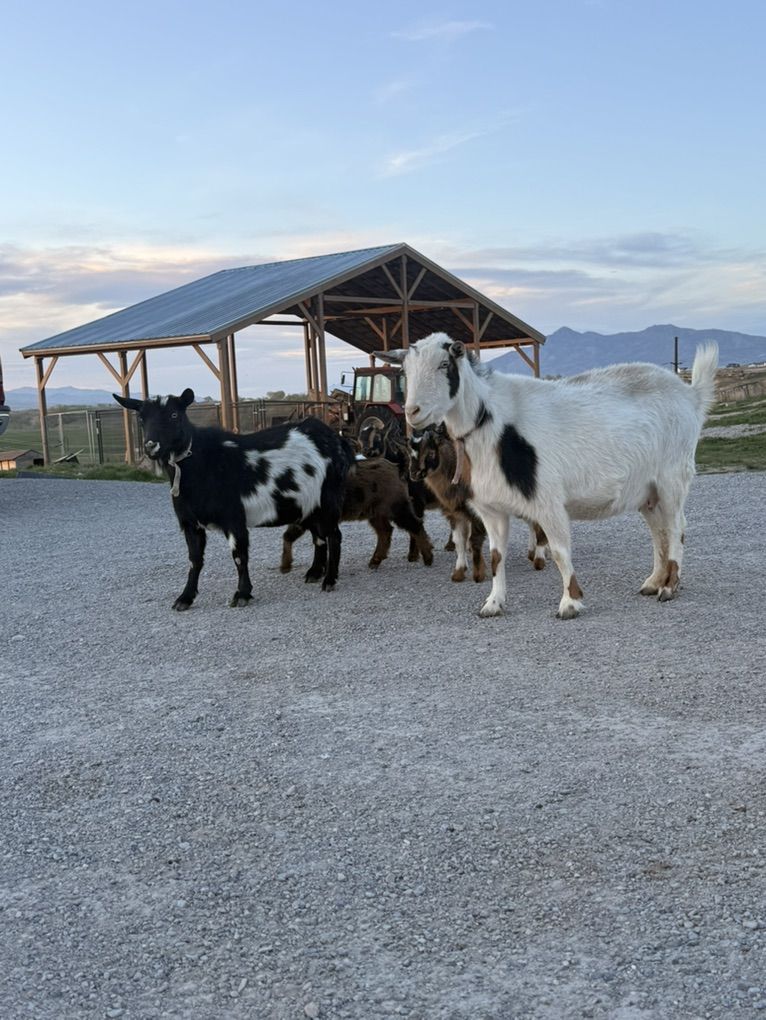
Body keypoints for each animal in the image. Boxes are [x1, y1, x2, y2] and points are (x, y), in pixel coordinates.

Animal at [114, 389, 355, 609]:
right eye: (141, 418)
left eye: (174, 414)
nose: (150, 446)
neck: (202, 463)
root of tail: (335, 439)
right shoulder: (190, 523)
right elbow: (194, 560)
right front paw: (185, 598)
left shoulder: (234, 517)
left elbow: (239, 556)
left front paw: (242, 594)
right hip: (307, 504)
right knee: (319, 536)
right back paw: (314, 572)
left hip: (328, 498)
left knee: (334, 536)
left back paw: (329, 580)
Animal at [280, 456, 434, 573]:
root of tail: (397, 468)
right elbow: (288, 535)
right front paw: (285, 567)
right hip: (376, 512)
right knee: (385, 531)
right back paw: (374, 562)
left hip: (397, 506)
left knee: (415, 524)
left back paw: (428, 558)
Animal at [409, 426, 549, 583]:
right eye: (411, 452)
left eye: (431, 453)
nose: (414, 474)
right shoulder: (455, 513)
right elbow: (459, 542)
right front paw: (458, 573)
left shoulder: (476, 513)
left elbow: (474, 541)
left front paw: (478, 575)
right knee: (533, 523)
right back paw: (533, 552)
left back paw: (539, 560)